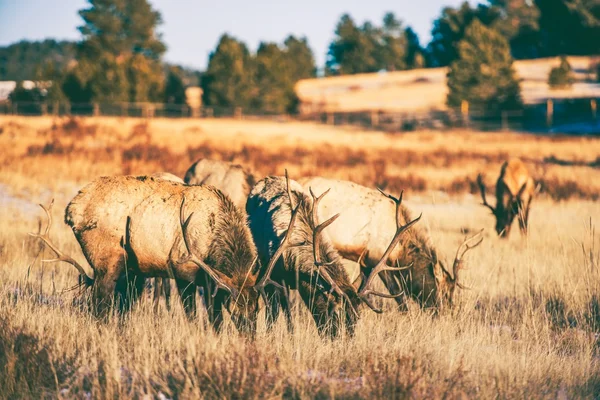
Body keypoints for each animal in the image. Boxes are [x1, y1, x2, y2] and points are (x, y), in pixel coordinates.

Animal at [30, 175, 298, 334]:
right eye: (234, 310)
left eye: (257, 309)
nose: (249, 338)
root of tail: (71, 210)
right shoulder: (183, 272)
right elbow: (195, 315)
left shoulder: (212, 283)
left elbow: (214, 319)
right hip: (108, 258)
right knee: (100, 301)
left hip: (131, 268)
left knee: (119, 303)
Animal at [298, 177, 482, 310]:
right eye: (443, 292)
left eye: (452, 291)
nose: (447, 313)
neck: (399, 252)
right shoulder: (376, 257)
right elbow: (398, 295)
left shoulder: (364, 261)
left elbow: (359, 288)